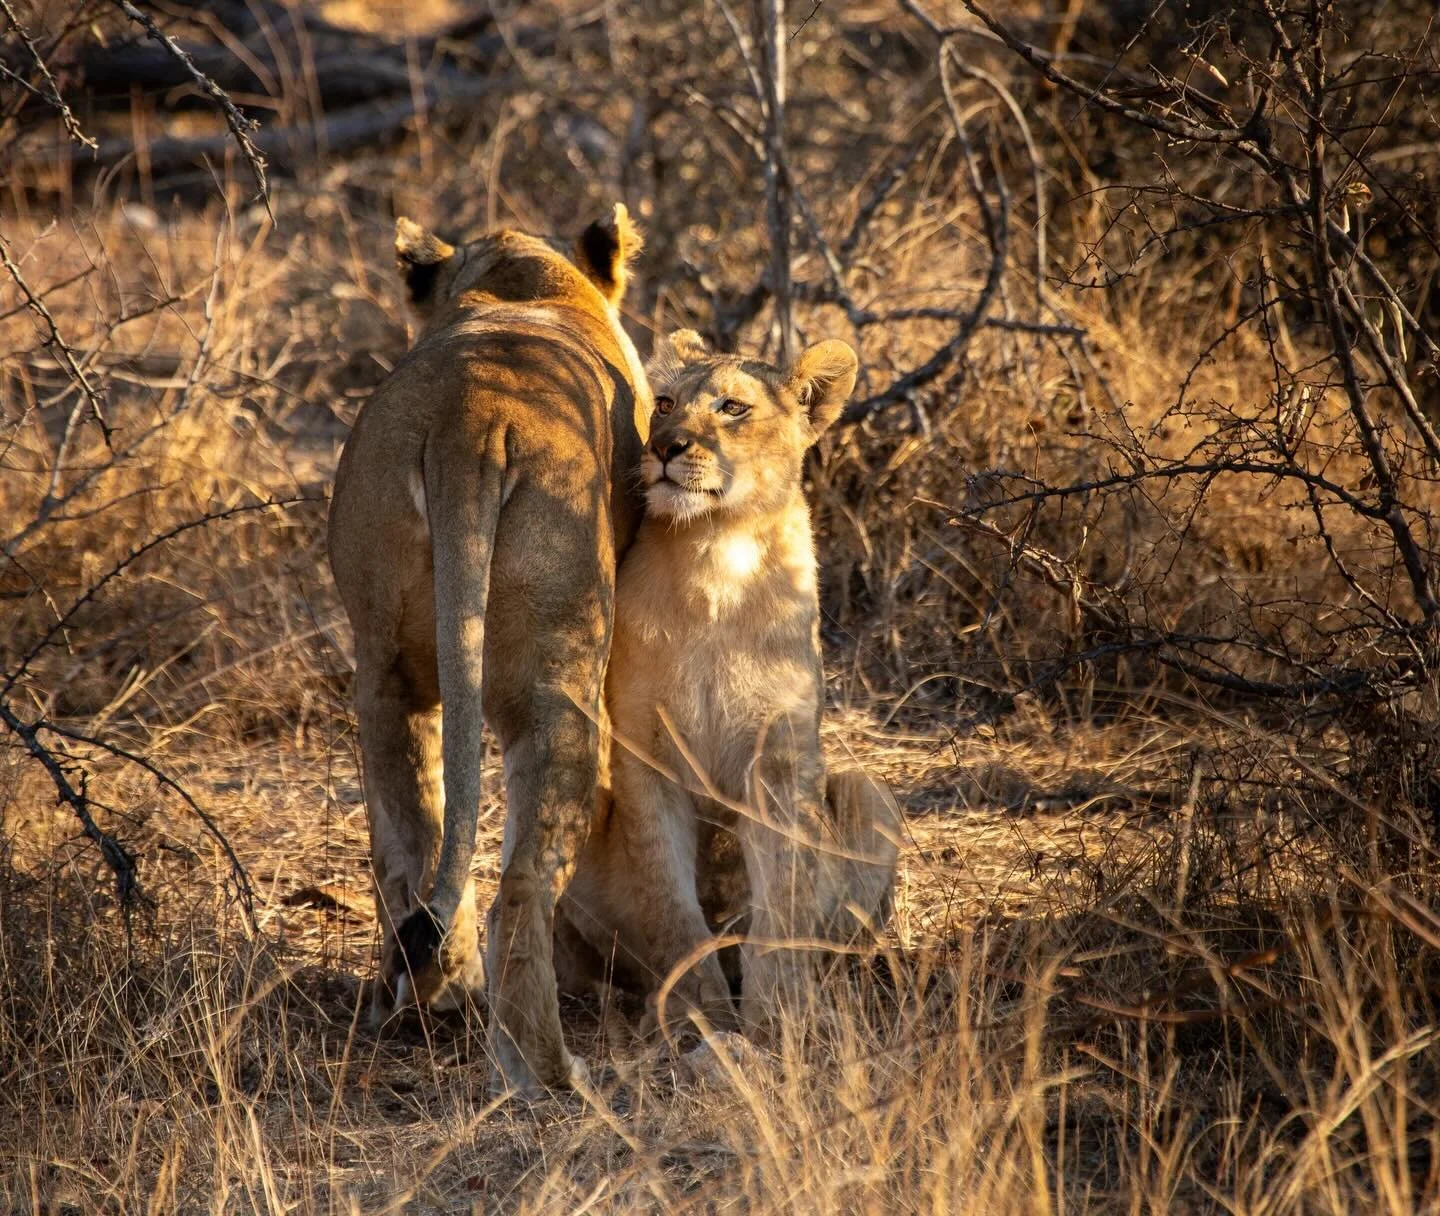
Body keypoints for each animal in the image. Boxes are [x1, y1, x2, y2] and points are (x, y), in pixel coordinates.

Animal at [327, 205, 649, 1095]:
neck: (519, 285)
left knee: (410, 849)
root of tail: (470, 420)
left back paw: (424, 998)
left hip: (384, 666)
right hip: (562, 663)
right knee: (524, 880)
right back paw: (549, 1071)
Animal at [556, 331, 901, 1032]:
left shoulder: (779, 759)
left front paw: (778, 1015)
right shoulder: (643, 754)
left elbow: (783, 898)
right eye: (663, 404)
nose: (665, 447)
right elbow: (669, 901)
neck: (716, 554)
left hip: (868, 790)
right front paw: (698, 1012)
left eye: (733, 408)